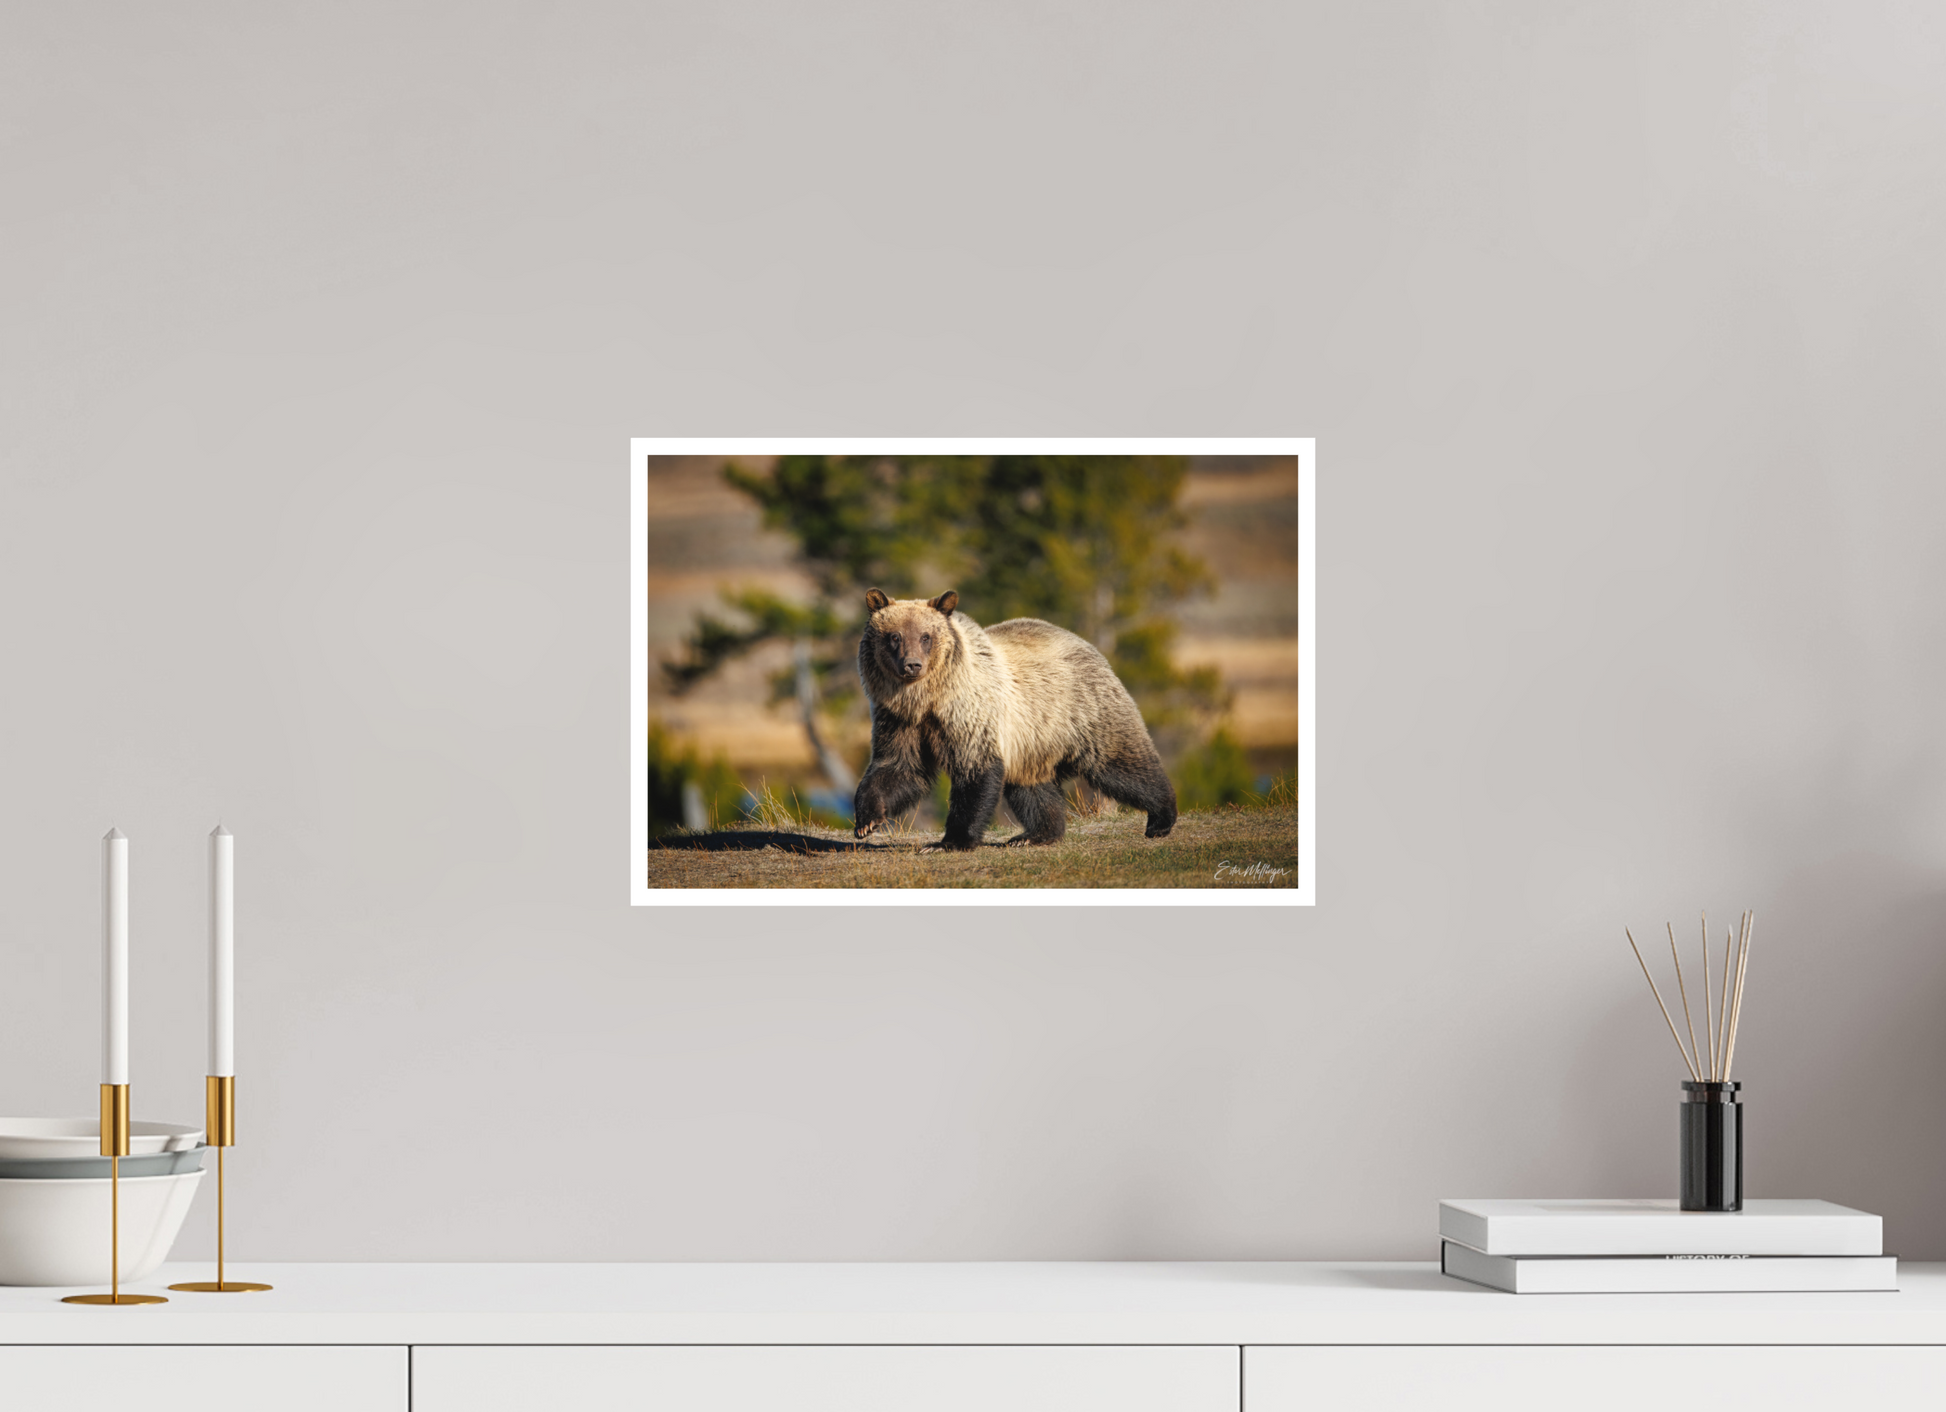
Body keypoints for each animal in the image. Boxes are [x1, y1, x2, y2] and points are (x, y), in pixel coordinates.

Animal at [851, 588, 1178, 851]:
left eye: (925, 636)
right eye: (894, 636)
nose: (912, 665)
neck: (927, 700)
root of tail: (1086, 644)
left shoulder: (970, 714)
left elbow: (975, 771)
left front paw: (949, 842)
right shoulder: (899, 721)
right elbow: (899, 767)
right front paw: (866, 821)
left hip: (1082, 712)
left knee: (1121, 764)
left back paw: (1161, 818)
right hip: (1032, 741)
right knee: (1031, 787)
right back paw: (1034, 835)